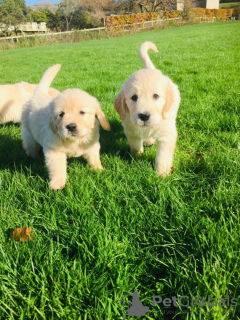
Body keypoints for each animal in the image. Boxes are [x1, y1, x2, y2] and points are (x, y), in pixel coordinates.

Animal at [114, 41, 180, 176]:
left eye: (156, 96)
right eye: (134, 97)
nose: (144, 116)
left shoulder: (167, 135)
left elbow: (162, 157)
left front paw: (162, 174)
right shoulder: (131, 130)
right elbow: (135, 146)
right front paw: (137, 157)